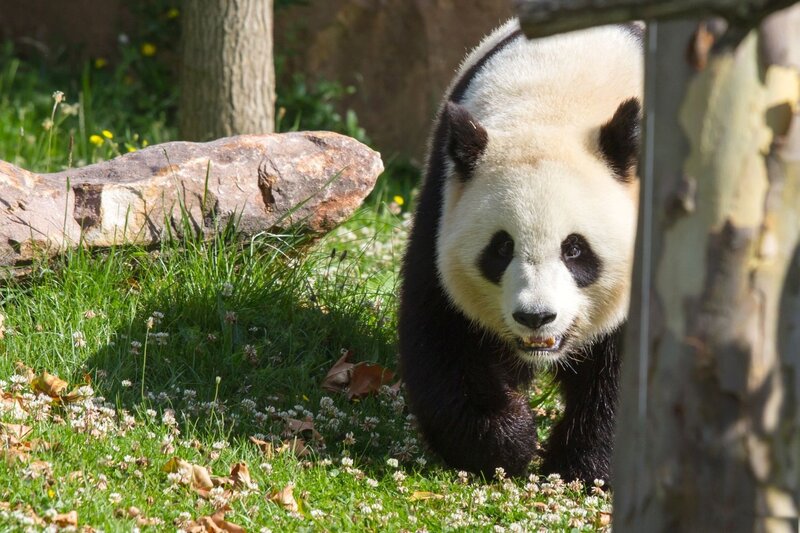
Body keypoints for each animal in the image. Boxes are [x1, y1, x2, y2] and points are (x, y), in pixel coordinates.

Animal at [398, 19, 643, 484]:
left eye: (575, 250)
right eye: (501, 248)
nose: (536, 316)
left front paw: (583, 465)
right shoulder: (444, 199)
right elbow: (443, 332)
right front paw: (507, 442)